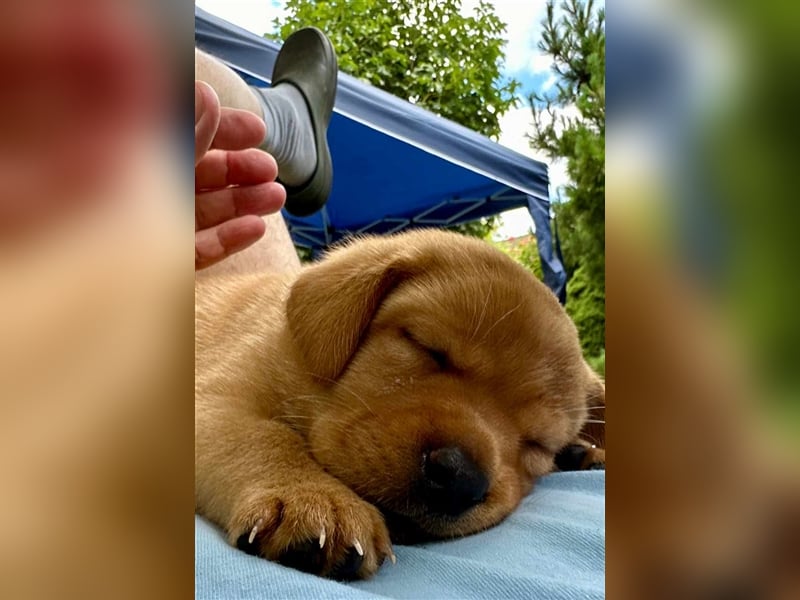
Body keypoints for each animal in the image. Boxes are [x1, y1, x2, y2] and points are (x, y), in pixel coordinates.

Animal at [195, 227, 608, 580]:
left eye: (537, 445)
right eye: (426, 347)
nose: (460, 480)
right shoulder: (214, 397)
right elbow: (264, 437)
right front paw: (314, 498)